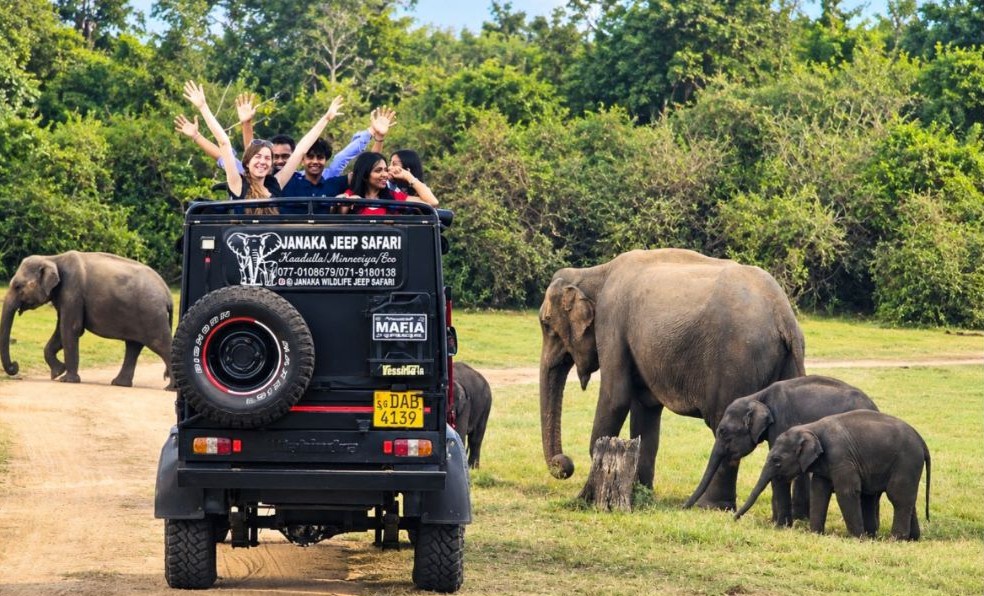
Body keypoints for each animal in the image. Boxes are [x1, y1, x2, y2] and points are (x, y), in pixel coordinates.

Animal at [2, 251, 174, 388]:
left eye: (18, 286)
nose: (15, 365)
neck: (52, 258)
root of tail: (168, 294)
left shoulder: (72, 291)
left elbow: (70, 328)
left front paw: (66, 379)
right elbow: (60, 331)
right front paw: (57, 372)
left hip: (152, 315)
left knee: (161, 345)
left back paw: (171, 388)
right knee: (133, 346)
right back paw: (119, 383)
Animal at [539, 249, 805, 509]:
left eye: (546, 324)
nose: (563, 463)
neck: (594, 272)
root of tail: (784, 316)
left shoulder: (611, 322)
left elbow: (616, 398)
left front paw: (584, 498)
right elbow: (644, 413)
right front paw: (641, 496)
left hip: (737, 362)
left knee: (724, 427)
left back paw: (709, 506)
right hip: (787, 363)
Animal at [684, 375, 879, 525]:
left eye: (723, 432)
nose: (683, 508)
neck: (758, 397)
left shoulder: (781, 423)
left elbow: (780, 473)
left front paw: (780, 526)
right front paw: (777, 522)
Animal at [735, 410, 931, 540]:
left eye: (777, 460)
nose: (734, 519)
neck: (811, 427)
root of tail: (922, 441)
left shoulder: (840, 455)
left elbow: (847, 492)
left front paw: (858, 539)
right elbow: (819, 491)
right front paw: (815, 534)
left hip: (906, 461)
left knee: (898, 496)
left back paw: (895, 539)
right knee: (907, 498)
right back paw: (912, 539)